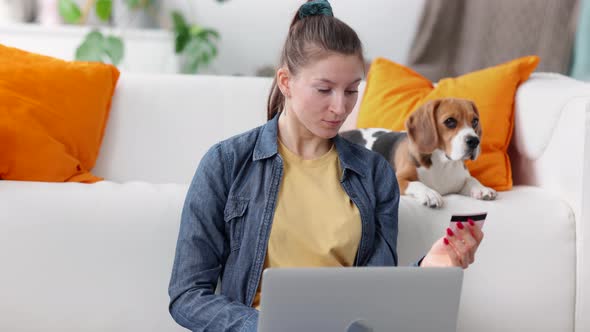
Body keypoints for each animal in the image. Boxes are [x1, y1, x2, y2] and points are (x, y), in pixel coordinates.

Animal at [342, 98, 500, 208]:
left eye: (475, 121)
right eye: (450, 121)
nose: (474, 141)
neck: (443, 164)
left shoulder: (460, 179)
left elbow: (472, 180)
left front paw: (482, 189)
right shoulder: (397, 179)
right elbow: (417, 183)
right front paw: (430, 194)